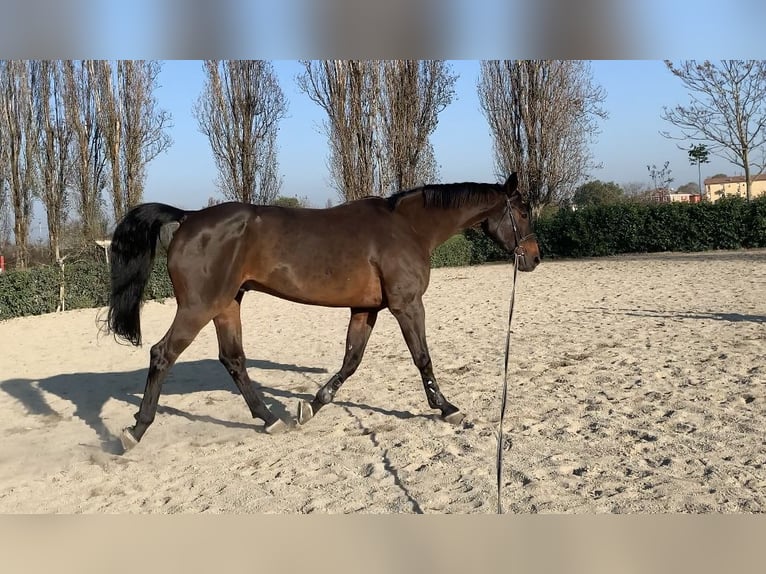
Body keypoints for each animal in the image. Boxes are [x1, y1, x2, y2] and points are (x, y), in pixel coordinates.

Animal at [106, 173, 540, 451]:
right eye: (522, 212)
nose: (534, 258)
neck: (408, 227)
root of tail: (188, 217)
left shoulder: (365, 308)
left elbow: (351, 360)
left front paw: (310, 407)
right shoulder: (406, 304)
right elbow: (422, 357)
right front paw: (447, 409)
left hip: (227, 304)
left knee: (233, 360)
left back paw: (272, 419)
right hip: (198, 307)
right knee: (162, 354)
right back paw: (135, 432)